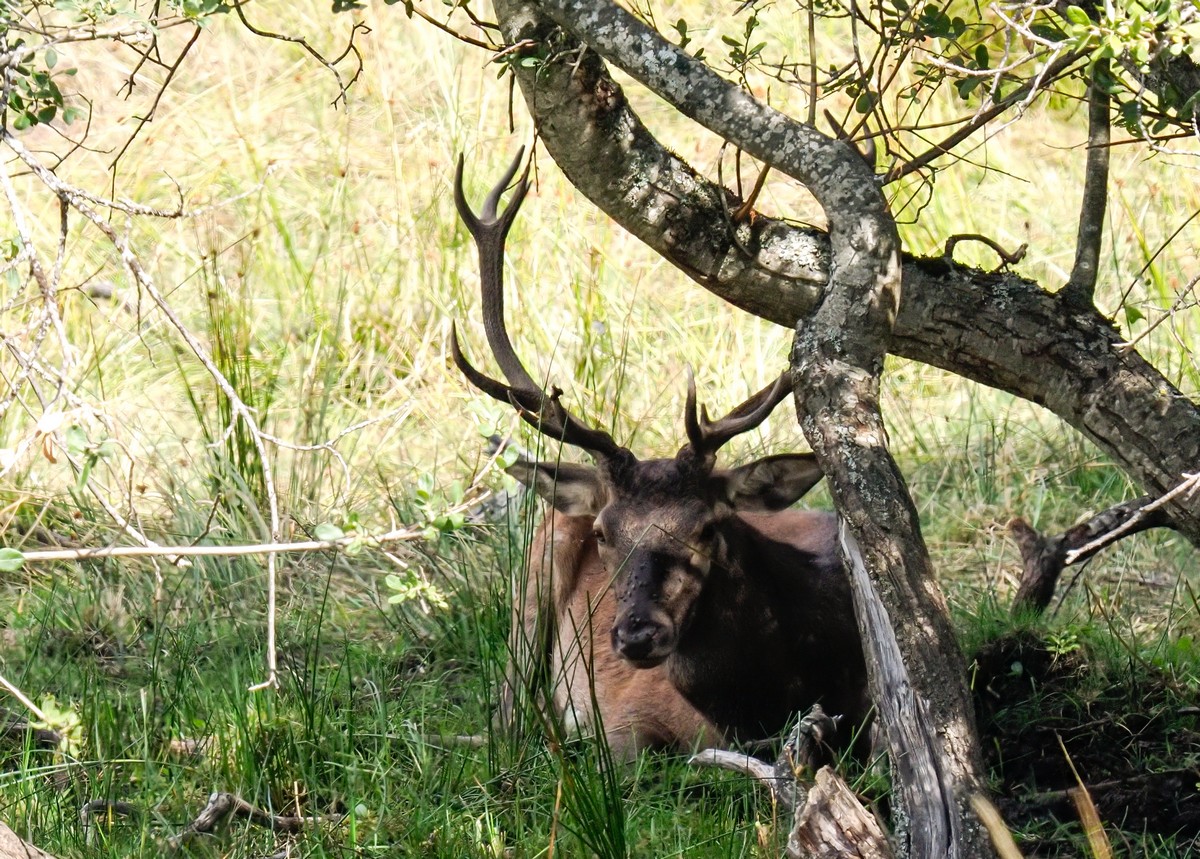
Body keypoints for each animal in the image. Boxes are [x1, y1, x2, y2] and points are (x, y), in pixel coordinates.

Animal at [451, 151, 870, 763]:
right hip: (533, 584)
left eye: (707, 527)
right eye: (604, 532)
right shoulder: (624, 721)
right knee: (507, 719)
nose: (636, 635)